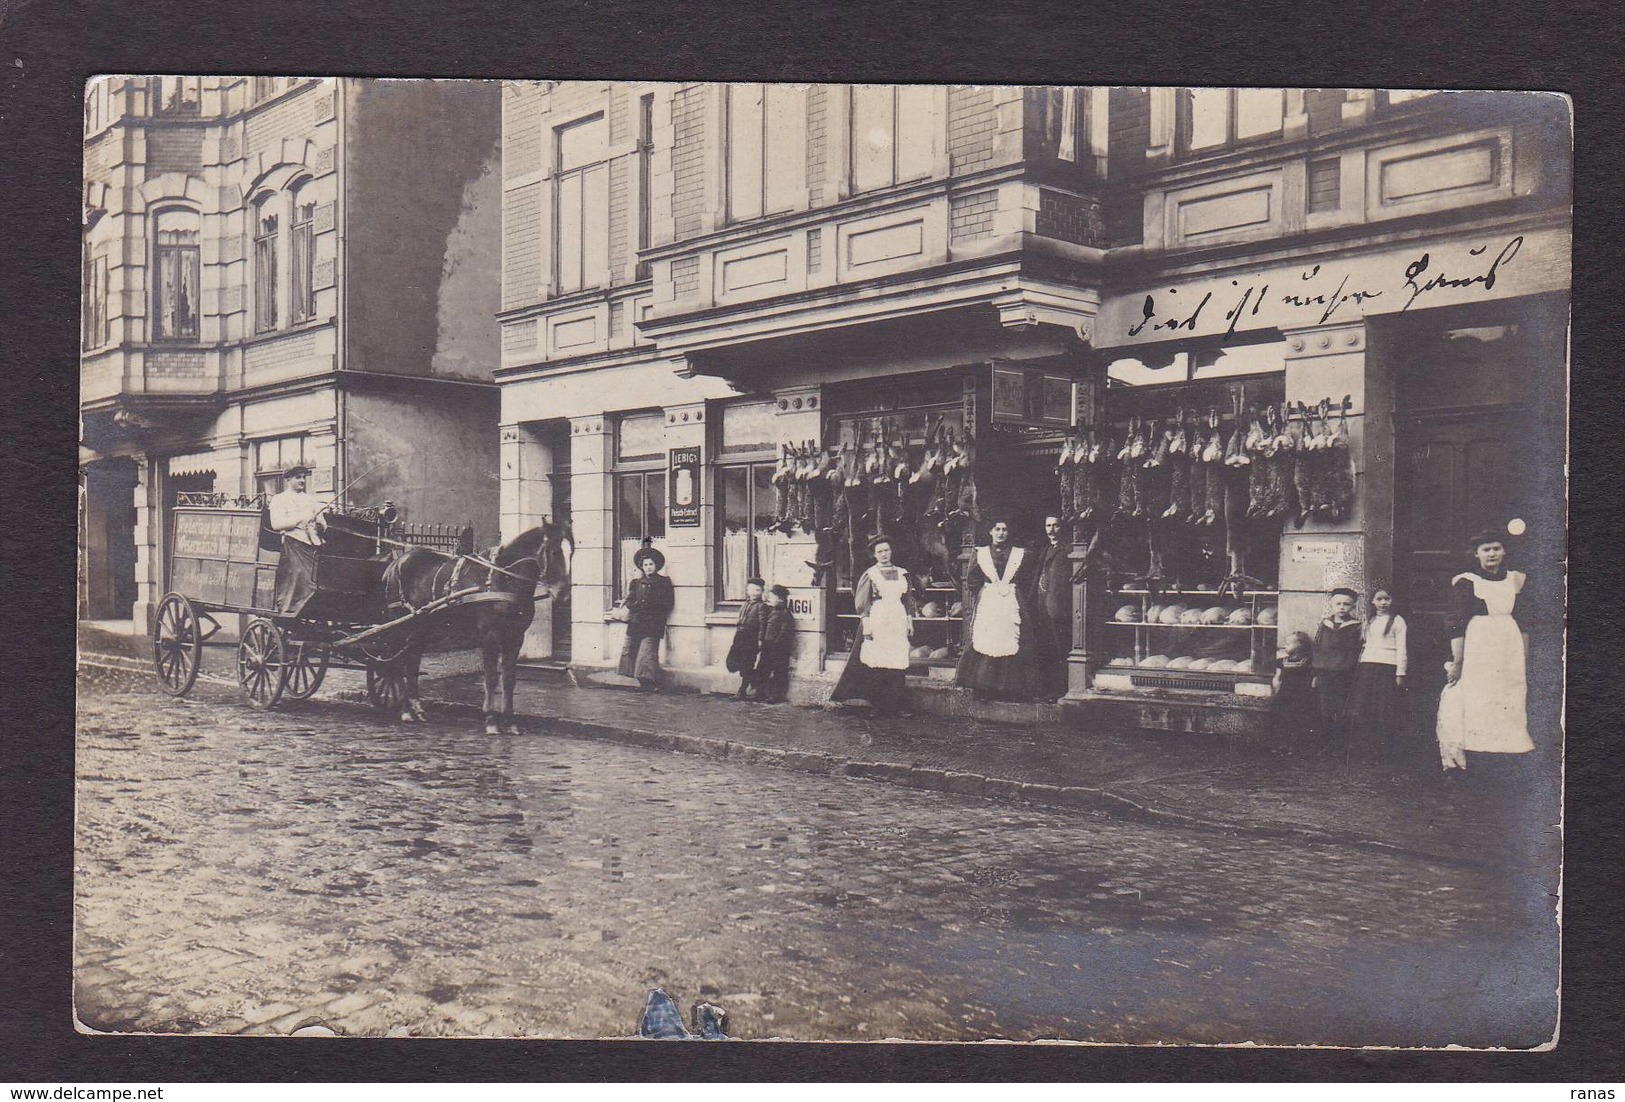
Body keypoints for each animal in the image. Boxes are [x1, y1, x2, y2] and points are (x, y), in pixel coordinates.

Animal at [378, 523, 572, 734]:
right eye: (554, 551)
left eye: (573, 552)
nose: (564, 594)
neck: (502, 579)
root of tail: (396, 562)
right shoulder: (490, 636)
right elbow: (491, 678)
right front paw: (491, 720)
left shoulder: (515, 637)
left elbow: (509, 679)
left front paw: (510, 722)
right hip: (400, 625)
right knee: (396, 664)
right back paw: (405, 710)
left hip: (421, 627)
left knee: (412, 662)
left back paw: (418, 709)